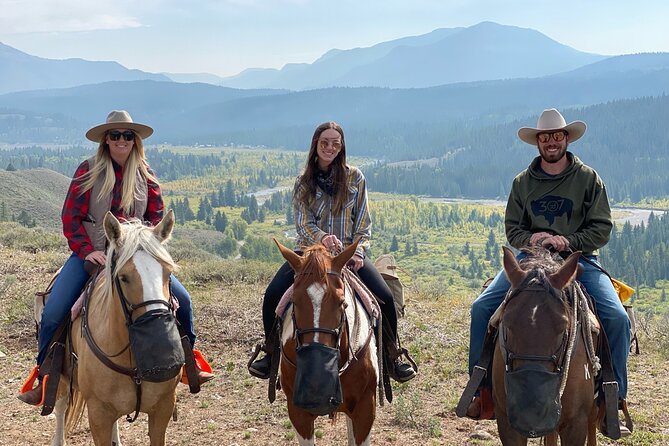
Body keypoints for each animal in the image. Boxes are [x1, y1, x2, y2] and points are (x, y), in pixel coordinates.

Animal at [50, 210, 180, 446]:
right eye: (124, 277)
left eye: (168, 273)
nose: (163, 351)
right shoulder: (98, 415)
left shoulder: (163, 409)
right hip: (62, 376)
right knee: (61, 405)